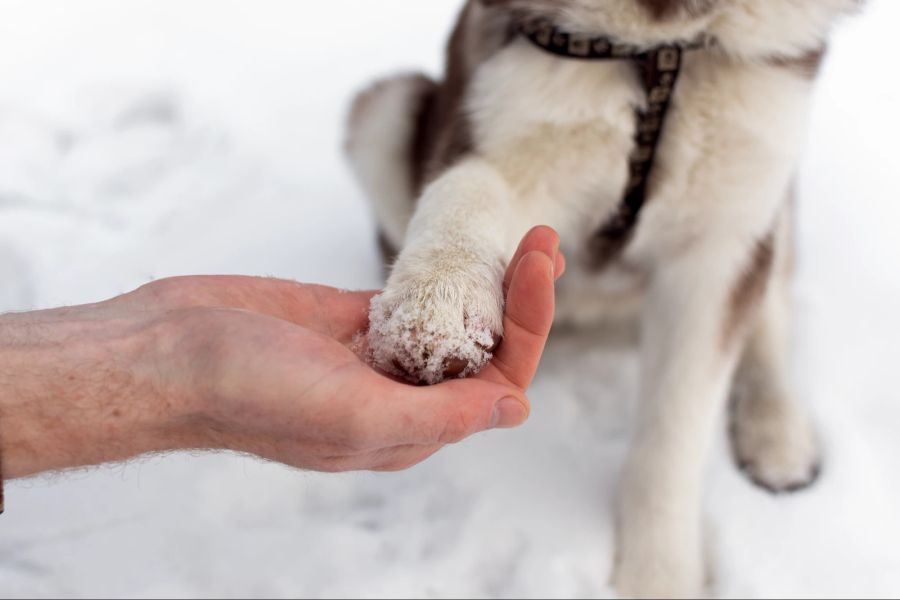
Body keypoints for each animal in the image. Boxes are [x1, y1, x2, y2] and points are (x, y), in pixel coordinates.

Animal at [342, 2, 856, 596]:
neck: (661, 41)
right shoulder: (511, 114)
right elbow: (470, 186)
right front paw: (439, 302)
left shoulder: (727, 218)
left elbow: (674, 433)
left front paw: (658, 576)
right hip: (384, 112)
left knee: (771, 305)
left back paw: (777, 431)